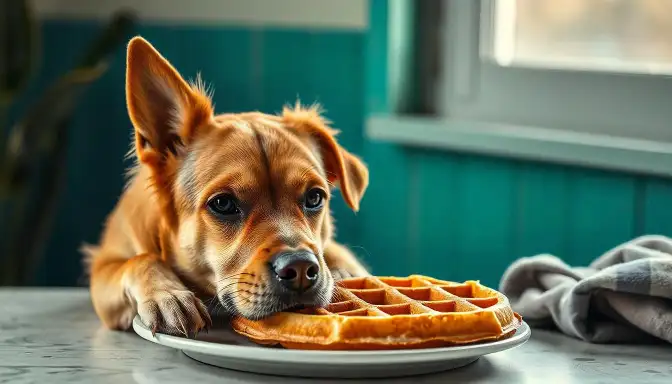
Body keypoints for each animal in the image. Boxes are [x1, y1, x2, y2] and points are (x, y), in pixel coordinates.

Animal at [82, 36, 372, 336]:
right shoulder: (103, 268)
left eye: (314, 198)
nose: (302, 268)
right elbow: (139, 261)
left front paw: (343, 269)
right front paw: (168, 295)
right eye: (223, 204)